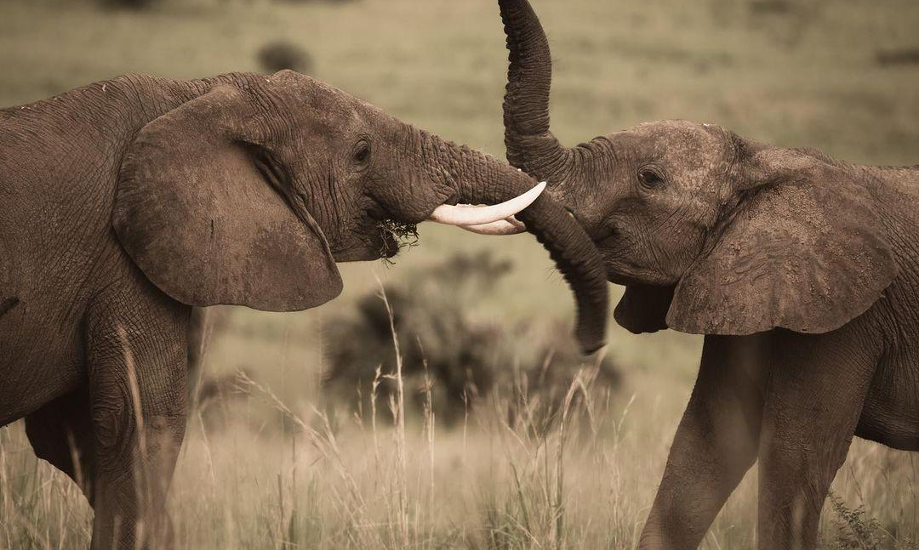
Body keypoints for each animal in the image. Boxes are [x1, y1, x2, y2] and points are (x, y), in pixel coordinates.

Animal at [1, 69, 612, 550]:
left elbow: (71, 439)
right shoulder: (123, 261)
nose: (587, 344)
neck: (198, 94)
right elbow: (136, 430)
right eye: (361, 153)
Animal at [492, 1, 916, 550]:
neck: (758, 158)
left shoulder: (847, 317)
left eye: (650, 178)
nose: (587, 344)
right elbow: (706, 445)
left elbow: (794, 464)